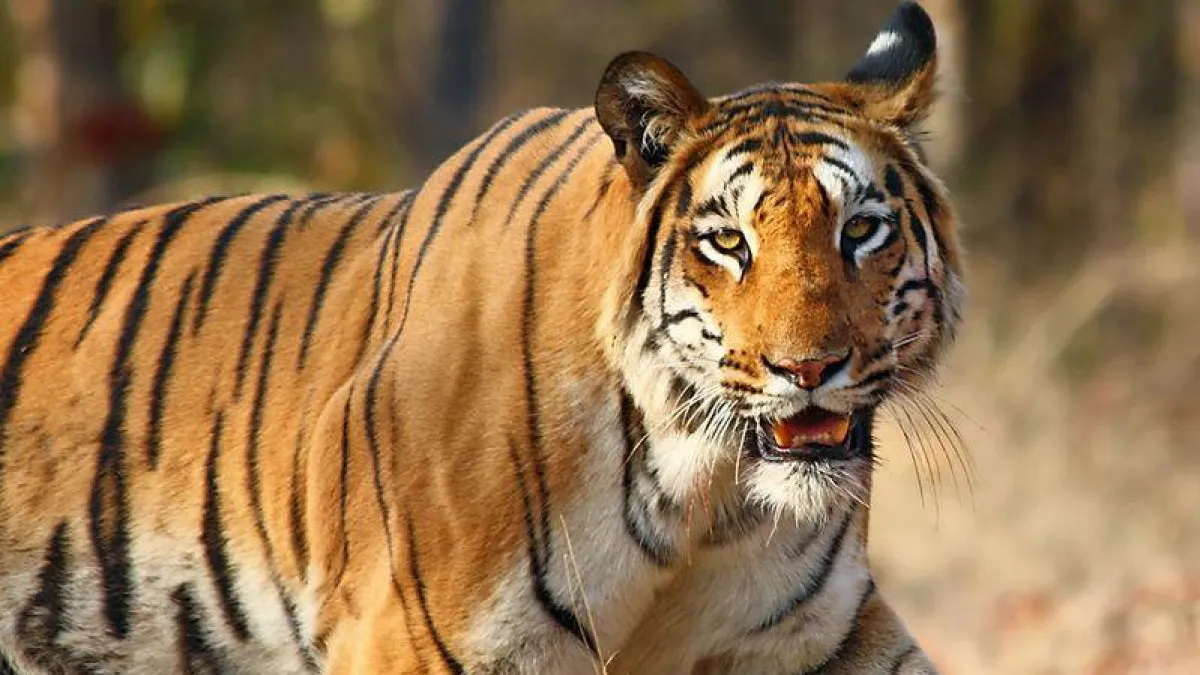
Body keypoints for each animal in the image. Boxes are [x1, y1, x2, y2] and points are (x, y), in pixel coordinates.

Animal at [0, 2, 962, 673]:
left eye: (860, 231)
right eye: (728, 242)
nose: (810, 367)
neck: (705, 497)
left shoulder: (816, 633)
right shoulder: (415, 637)